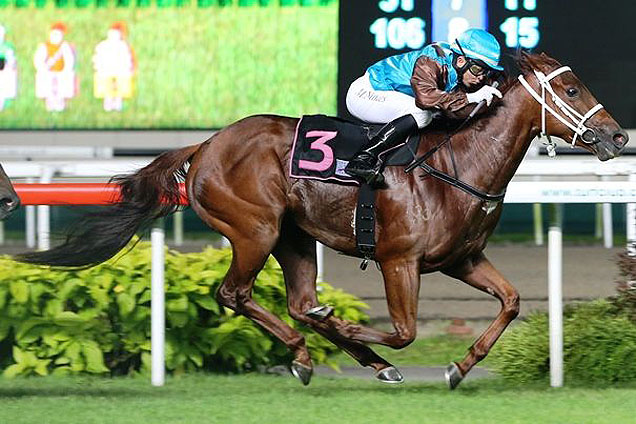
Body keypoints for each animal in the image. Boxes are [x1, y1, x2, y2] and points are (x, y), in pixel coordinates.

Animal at [16, 53, 632, 388]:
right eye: (571, 88)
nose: (617, 136)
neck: (457, 163)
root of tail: (206, 144)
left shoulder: (461, 259)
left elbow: (511, 301)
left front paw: (459, 368)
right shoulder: (398, 260)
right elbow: (405, 331)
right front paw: (356, 332)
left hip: (292, 237)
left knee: (296, 301)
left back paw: (340, 351)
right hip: (255, 230)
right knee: (236, 294)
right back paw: (314, 352)